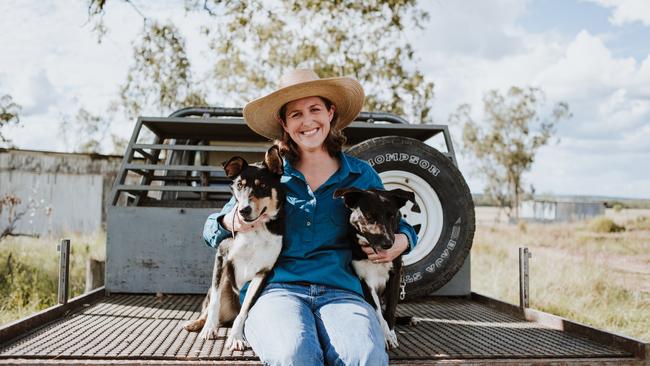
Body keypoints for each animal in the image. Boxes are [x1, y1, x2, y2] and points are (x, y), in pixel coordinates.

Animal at [182, 144, 284, 350]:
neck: (255, 229)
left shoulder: (262, 273)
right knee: (208, 307)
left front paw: (236, 337)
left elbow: (244, 312)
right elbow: (214, 302)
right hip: (223, 286)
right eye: (239, 185)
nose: (244, 210)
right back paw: (196, 324)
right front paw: (208, 329)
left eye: (263, 186)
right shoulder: (222, 258)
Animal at [334, 187, 416, 350]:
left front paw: (391, 334)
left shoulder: (395, 276)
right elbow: (377, 310)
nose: (388, 244)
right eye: (369, 216)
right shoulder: (364, 281)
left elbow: (390, 310)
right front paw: (386, 335)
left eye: (392, 216)